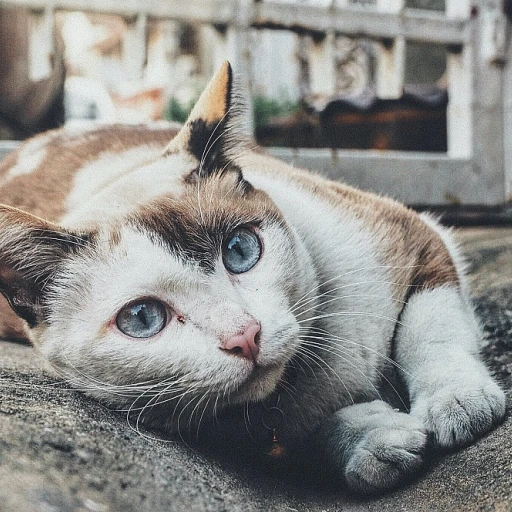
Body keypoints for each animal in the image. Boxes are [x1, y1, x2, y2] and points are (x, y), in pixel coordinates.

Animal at [0, 62, 506, 494]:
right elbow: (308, 433)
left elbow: (429, 329)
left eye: (240, 251)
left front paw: (456, 401)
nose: (245, 336)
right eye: (142, 318)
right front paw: (372, 442)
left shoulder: (412, 234)